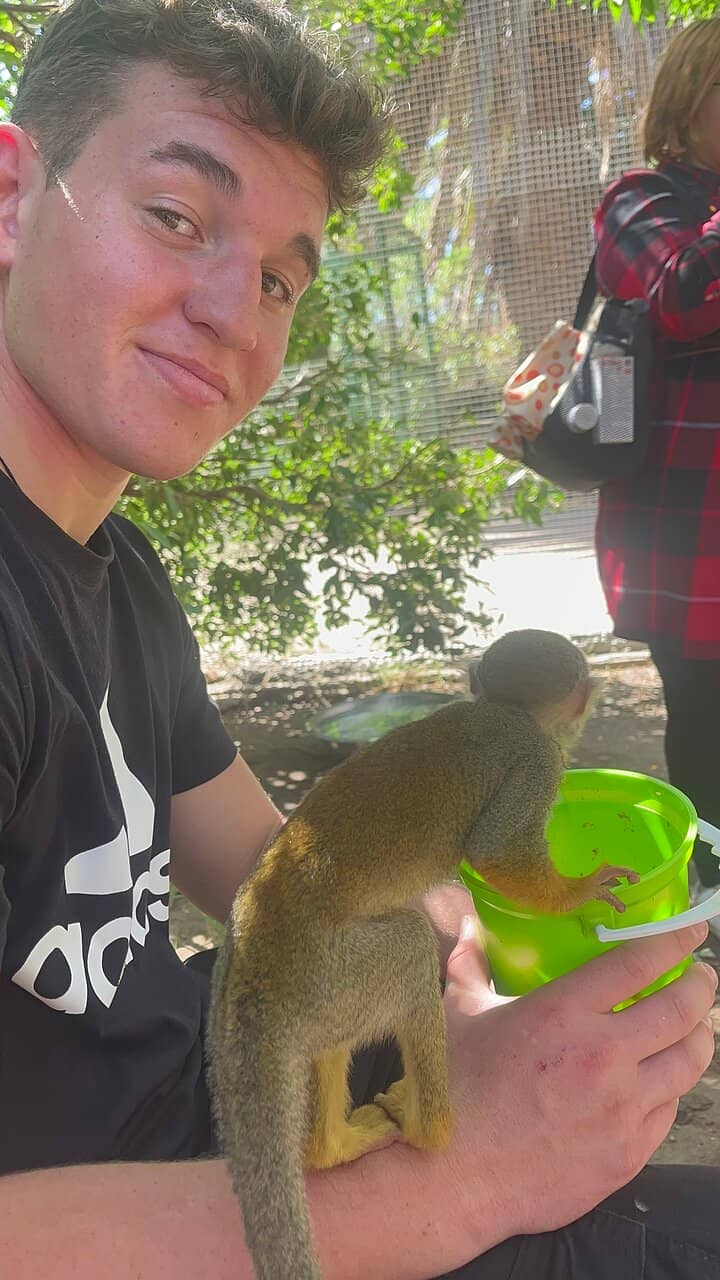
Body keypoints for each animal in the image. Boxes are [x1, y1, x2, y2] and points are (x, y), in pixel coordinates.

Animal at [207, 628, 639, 1280]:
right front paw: (580, 892)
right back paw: (430, 1131)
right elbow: (494, 852)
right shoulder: (539, 761)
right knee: (409, 946)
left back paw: (329, 1150)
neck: (506, 709)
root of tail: (254, 963)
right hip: (331, 969)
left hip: (309, 990)